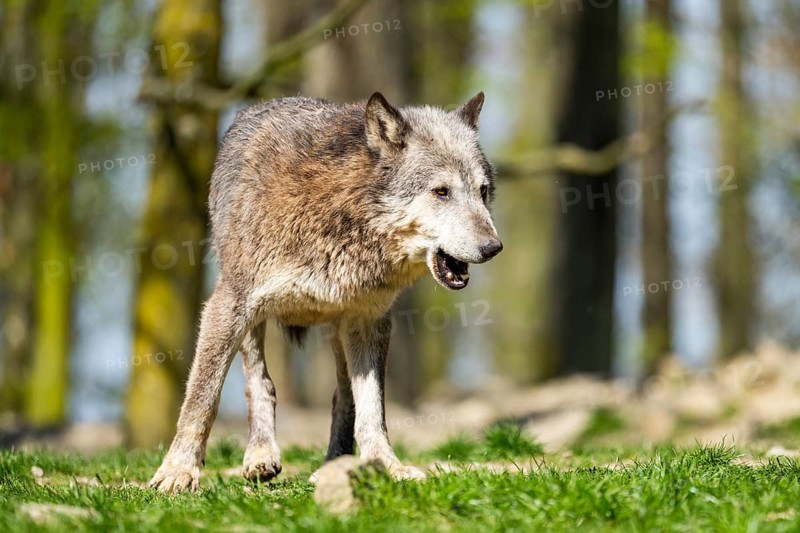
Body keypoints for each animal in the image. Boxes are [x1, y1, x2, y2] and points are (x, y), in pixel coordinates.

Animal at [148, 91, 503, 492]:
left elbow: (373, 409)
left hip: (338, 328)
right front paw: (177, 471)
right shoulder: (228, 304)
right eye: (442, 192)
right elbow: (201, 399)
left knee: (342, 396)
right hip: (249, 313)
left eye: (482, 191)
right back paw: (260, 455)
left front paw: (387, 465)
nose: (493, 247)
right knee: (260, 382)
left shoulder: (370, 322)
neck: (344, 214)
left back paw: (335, 463)